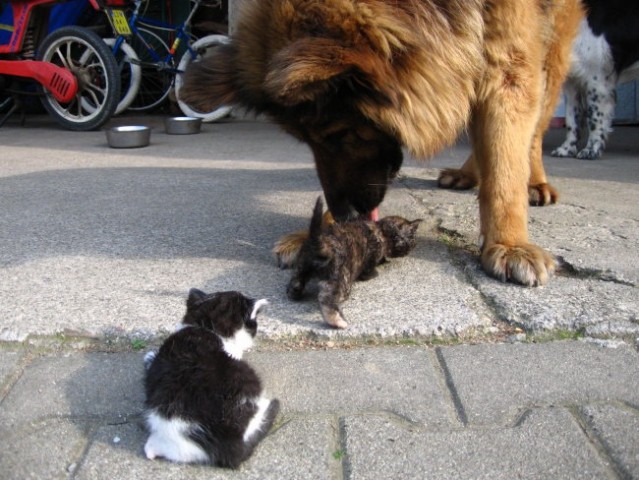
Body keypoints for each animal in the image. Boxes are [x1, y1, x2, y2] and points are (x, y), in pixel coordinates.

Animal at [179, 0, 584, 284]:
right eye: (306, 141)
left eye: (340, 134)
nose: (343, 213)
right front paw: (324, 230)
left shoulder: (510, 57)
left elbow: (505, 162)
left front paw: (510, 243)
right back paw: (467, 174)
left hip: (554, 45)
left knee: (536, 127)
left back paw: (535, 183)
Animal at [288, 197, 422, 328]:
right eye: (412, 239)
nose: (412, 248)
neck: (382, 231)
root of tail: (322, 242)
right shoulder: (371, 260)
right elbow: (370, 271)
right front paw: (379, 268)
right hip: (341, 279)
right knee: (327, 299)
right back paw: (337, 322)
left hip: (301, 267)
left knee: (295, 284)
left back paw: (294, 294)